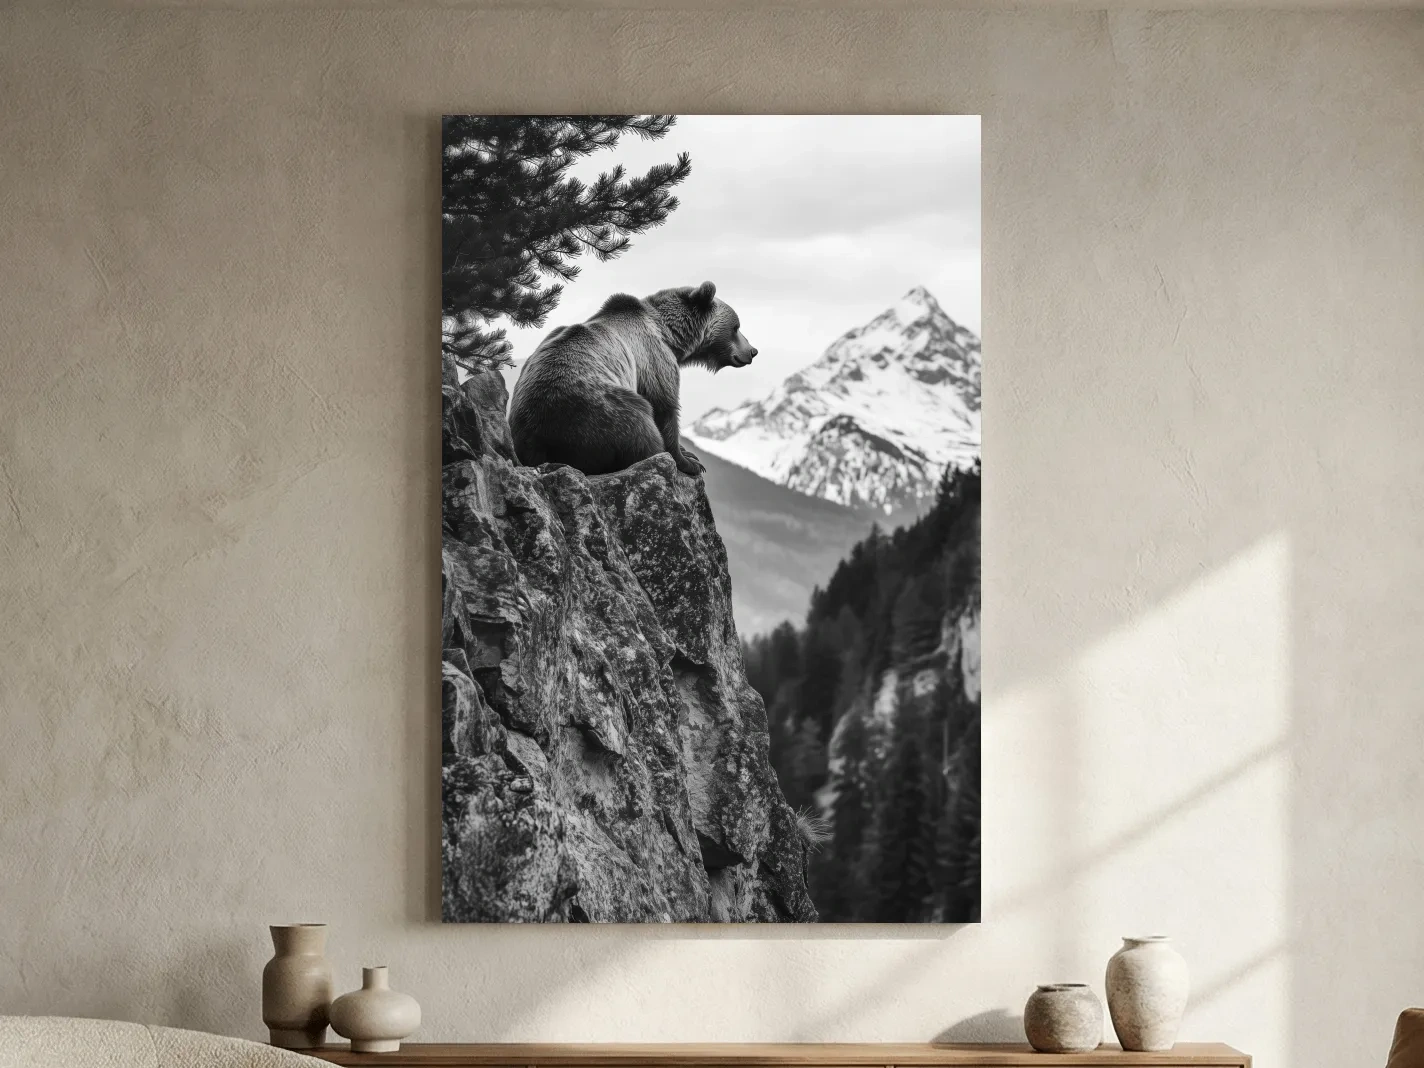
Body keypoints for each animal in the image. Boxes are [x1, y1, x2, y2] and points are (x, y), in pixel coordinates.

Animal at [507, 281, 757, 478]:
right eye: (736, 327)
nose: (753, 351)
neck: (670, 336)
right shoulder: (654, 358)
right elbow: (665, 406)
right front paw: (689, 462)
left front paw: (688, 453)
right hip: (598, 411)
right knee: (639, 426)